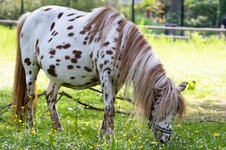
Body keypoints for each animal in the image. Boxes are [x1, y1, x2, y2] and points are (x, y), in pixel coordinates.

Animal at [12, 5, 187, 144]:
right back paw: (30, 128)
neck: (121, 43)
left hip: (55, 75)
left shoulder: (115, 83)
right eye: (160, 109)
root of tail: (30, 15)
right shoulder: (106, 78)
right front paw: (110, 139)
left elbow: (108, 108)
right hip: (31, 68)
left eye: (175, 111)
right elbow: (110, 109)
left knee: (50, 97)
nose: (165, 140)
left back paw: (58, 129)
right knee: (30, 97)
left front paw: (104, 136)